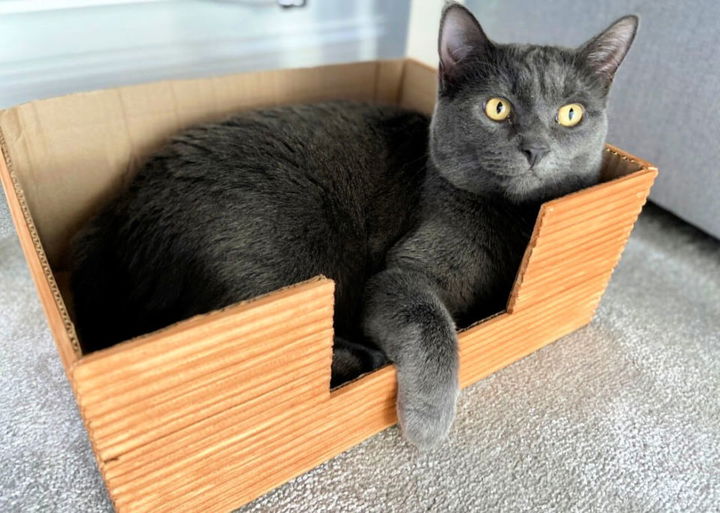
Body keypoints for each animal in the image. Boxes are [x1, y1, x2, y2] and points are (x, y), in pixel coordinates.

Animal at [70, 4, 640, 446]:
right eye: (497, 108)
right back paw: (366, 359)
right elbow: (432, 323)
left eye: (570, 114)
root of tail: (116, 217)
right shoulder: (401, 274)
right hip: (285, 245)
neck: (512, 220)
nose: (535, 149)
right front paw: (429, 423)